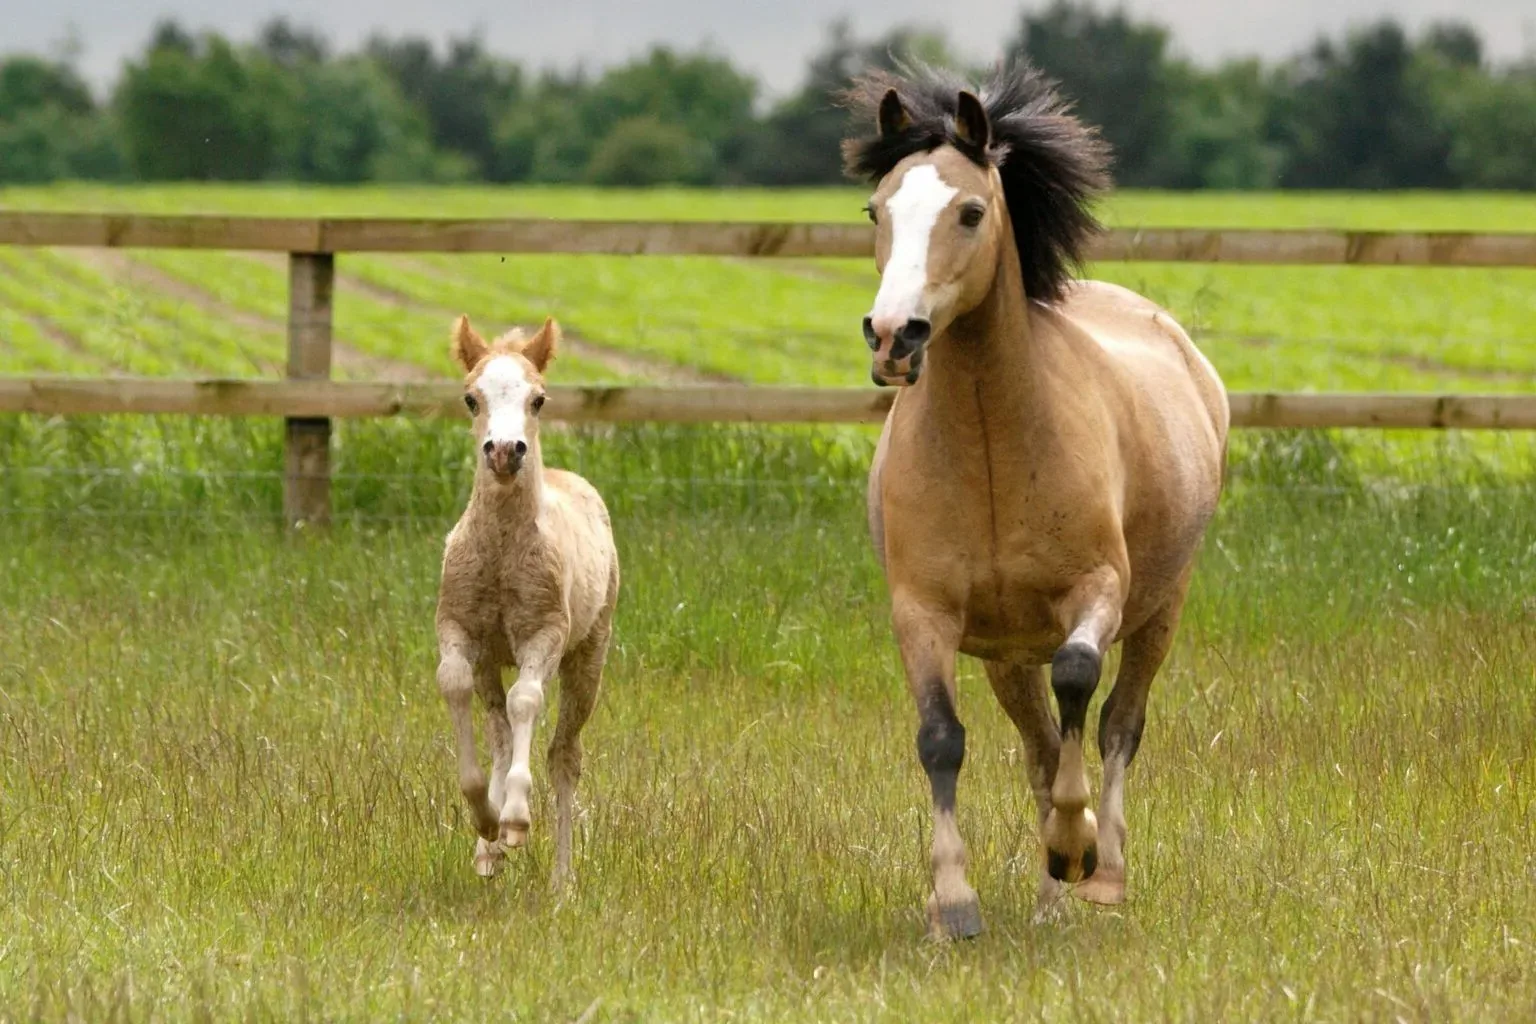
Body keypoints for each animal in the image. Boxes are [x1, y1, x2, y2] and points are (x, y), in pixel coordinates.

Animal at [434, 315, 620, 886]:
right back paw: (488, 849)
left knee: (564, 754)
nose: (503, 450)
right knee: (498, 731)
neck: (500, 553)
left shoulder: (544, 633)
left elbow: (527, 702)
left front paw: (514, 818)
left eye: (538, 399)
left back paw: (562, 880)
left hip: (589, 655)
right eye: (470, 398)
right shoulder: (459, 629)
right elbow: (453, 685)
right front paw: (485, 818)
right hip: (492, 659)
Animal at [842, 62, 1229, 938]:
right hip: (1005, 656)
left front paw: (1077, 848)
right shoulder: (923, 613)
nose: (893, 336)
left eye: (970, 211)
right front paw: (953, 904)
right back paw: (1053, 897)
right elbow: (942, 738)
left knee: (1118, 723)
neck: (993, 448)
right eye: (876, 209)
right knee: (1041, 746)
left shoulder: (1098, 591)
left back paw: (1102, 873)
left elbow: (1081, 680)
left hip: (1162, 608)